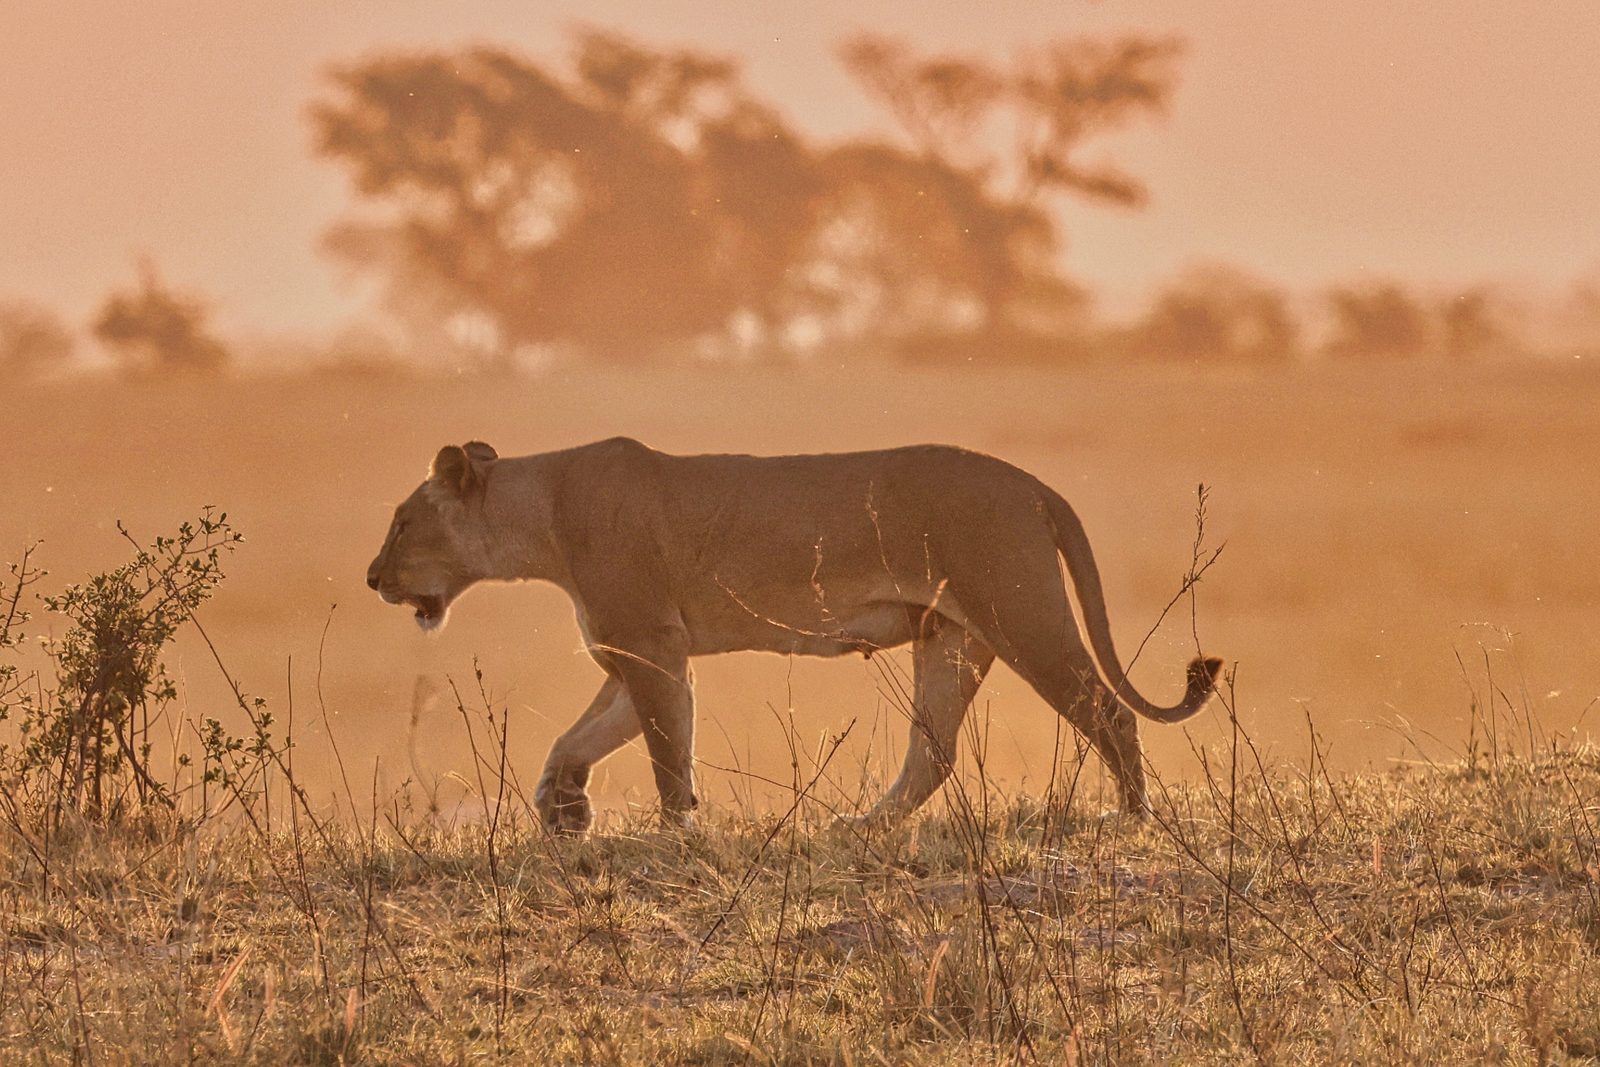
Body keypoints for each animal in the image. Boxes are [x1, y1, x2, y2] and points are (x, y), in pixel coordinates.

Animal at [366, 437, 1221, 833]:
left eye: (403, 521)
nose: (372, 577)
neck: (539, 517)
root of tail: (1034, 483)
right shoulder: (633, 654)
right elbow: (579, 737)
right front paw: (562, 806)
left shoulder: (653, 646)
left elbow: (666, 753)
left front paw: (674, 833)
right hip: (952, 636)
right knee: (934, 750)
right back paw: (865, 826)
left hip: (1020, 612)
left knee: (1109, 711)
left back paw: (1131, 817)